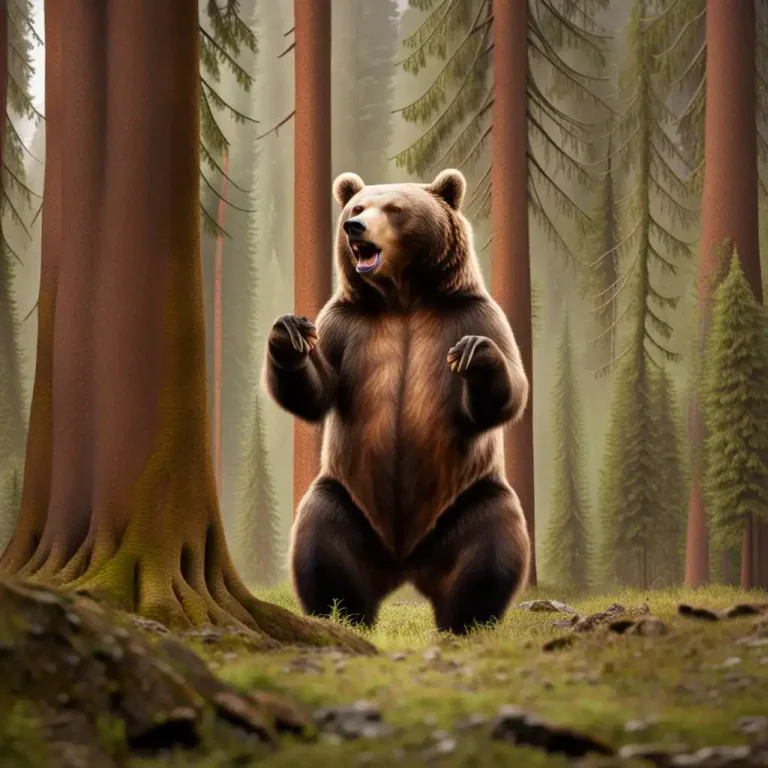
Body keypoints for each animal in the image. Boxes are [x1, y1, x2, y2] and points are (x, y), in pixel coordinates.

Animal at [263, 168, 531, 635]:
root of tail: (405, 565)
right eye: (356, 207)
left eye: (394, 208)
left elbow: (511, 390)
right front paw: (289, 334)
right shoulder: (346, 326)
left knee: (492, 546)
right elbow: (317, 392)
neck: (403, 298)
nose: (354, 227)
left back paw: (467, 620)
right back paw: (341, 614)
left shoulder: (474, 314)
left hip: (470, 499)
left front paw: (475, 355)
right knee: (320, 541)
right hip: (347, 500)